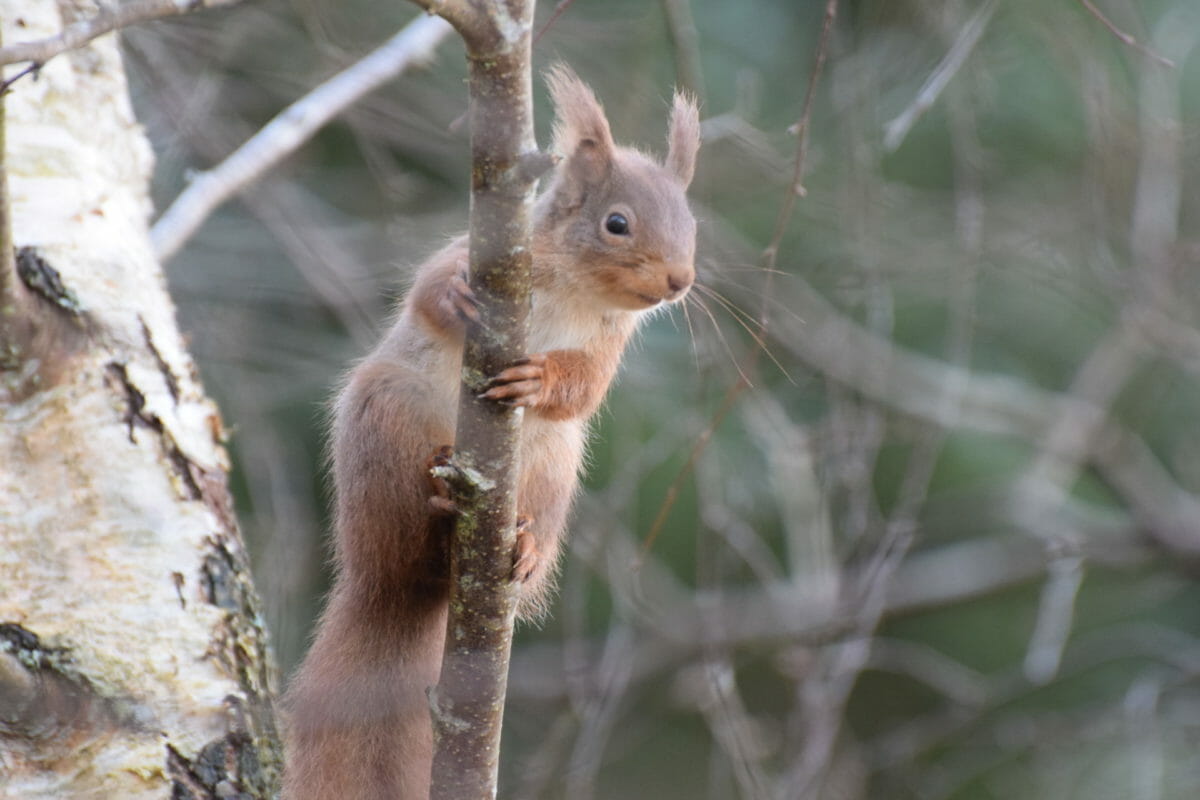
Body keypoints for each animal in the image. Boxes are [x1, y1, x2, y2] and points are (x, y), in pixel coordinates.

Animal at [282, 67, 700, 800]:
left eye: (692, 225)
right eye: (617, 223)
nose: (680, 280)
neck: (578, 290)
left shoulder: (608, 346)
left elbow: (585, 386)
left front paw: (540, 380)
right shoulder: (478, 253)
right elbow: (426, 293)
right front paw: (453, 298)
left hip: (553, 468)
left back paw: (524, 549)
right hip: (384, 422)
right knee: (402, 545)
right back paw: (435, 510)